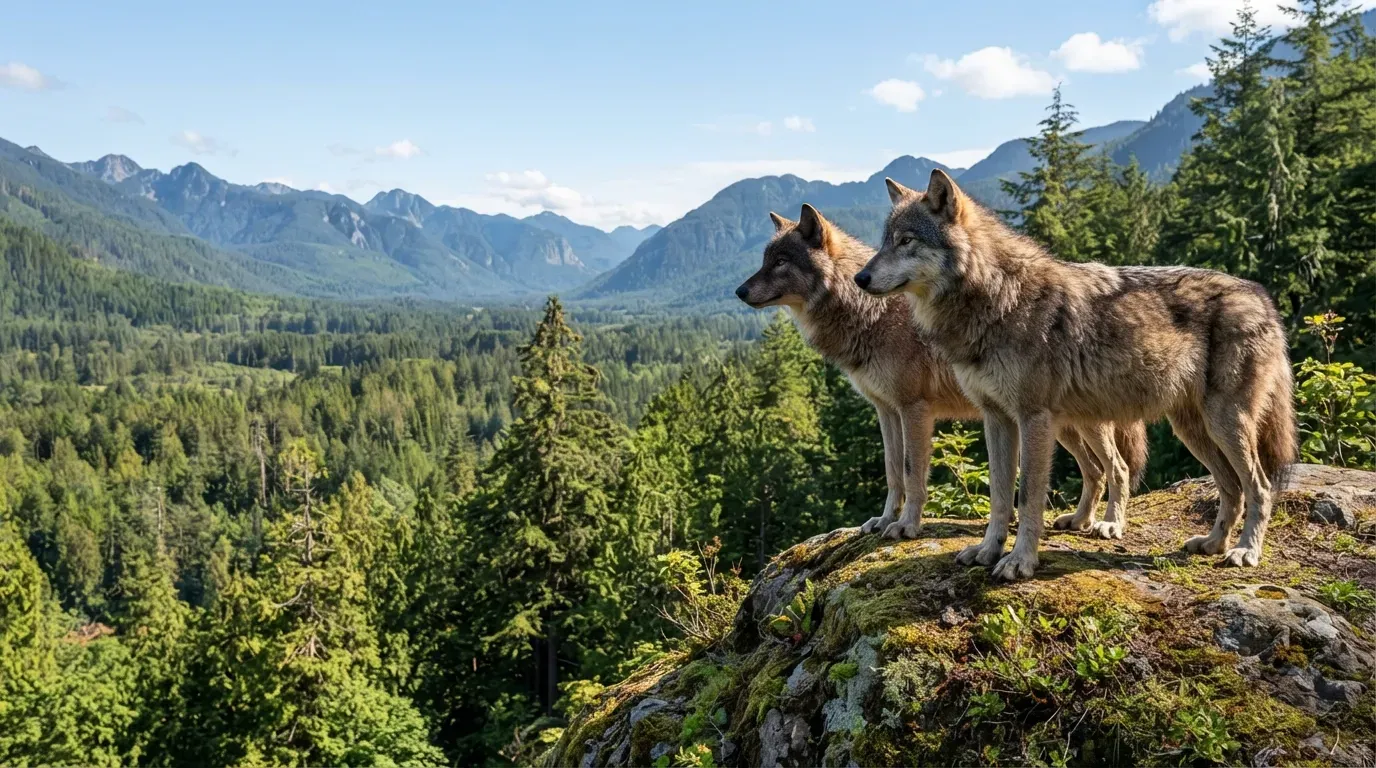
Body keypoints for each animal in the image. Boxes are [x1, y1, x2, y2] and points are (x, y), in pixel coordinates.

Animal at [736, 203, 1147, 541]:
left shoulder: (914, 409)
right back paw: (1078, 521)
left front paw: (907, 526)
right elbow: (892, 471)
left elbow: (912, 472)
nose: (739, 291)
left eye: (781, 262)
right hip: (1059, 425)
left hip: (1073, 423)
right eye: (765, 260)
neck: (868, 312)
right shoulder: (887, 411)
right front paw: (883, 521)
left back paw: (1110, 524)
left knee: (1118, 468)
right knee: (1094, 470)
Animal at [855, 170, 1297, 580]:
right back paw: (1213, 543)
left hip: (1223, 423)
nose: (860, 278)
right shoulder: (996, 419)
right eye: (884, 241)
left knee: (1259, 486)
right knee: (1231, 487)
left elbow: (1027, 497)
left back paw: (1245, 551)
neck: (997, 296)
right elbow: (1000, 495)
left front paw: (1020, 561)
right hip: (1191, 429)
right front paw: (987, 550)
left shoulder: (1033, 418)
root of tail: (1262, 296)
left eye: (906, 241)